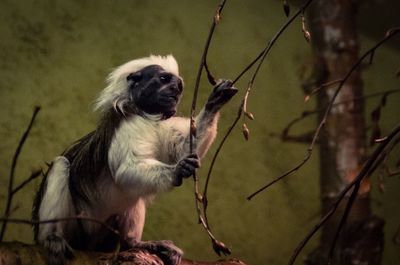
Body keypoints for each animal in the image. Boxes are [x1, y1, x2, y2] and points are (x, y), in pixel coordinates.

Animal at [32, 54, 238, 264]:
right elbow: (125, 171)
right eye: (164, 79)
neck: (145, 115)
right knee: (60, 165)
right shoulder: (127, 126)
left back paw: (135, 243)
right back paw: (52, 238)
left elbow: (182, 147)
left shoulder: (163, 126)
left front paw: (215, 101)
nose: (175, 91)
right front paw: (178, 169)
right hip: (79, 227)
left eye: (178, 86)